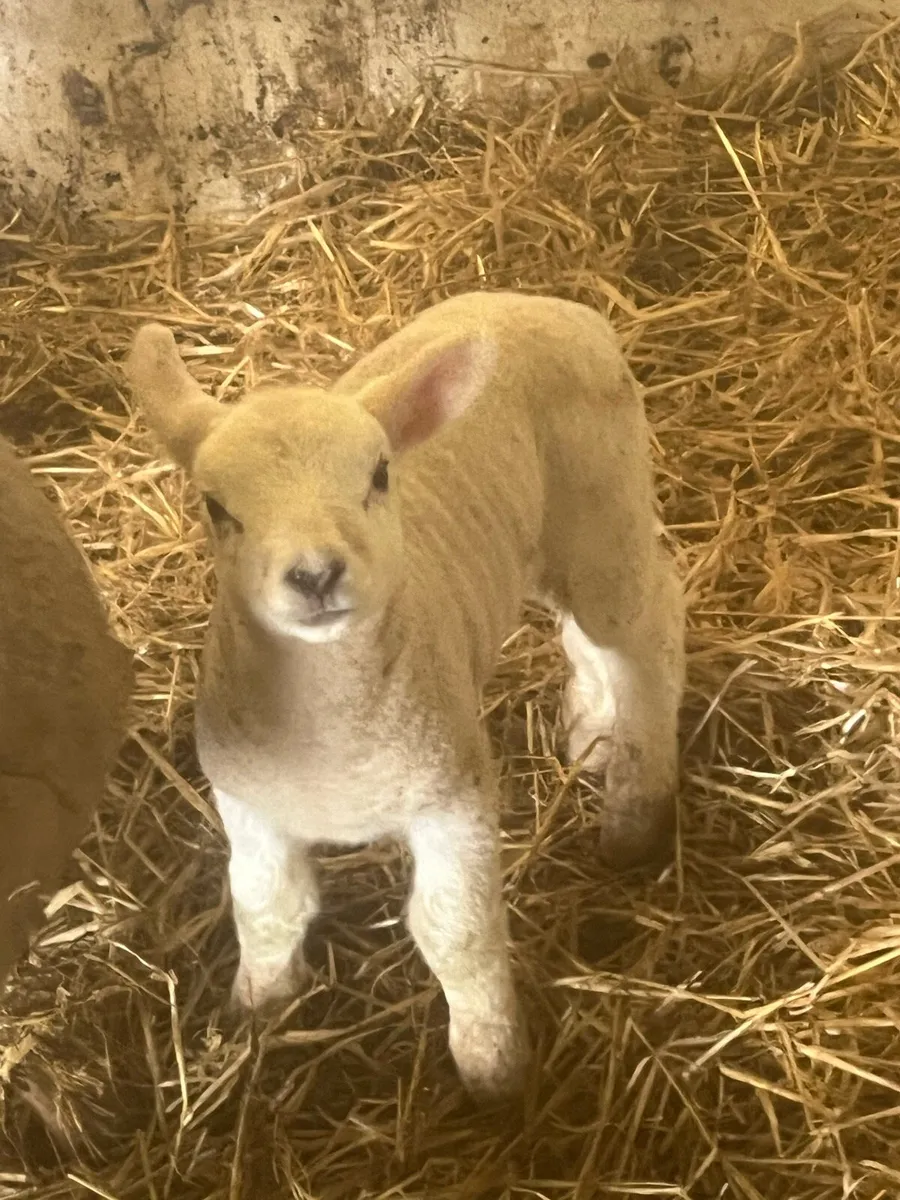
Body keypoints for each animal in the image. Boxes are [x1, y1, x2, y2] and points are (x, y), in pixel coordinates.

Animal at [124, 290, 685, 1100]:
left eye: (379, 475)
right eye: (216, 508)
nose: (315, 574)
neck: (329, 728)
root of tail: (542, 301)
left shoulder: (452, 798)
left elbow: (456, 932)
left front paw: (493, 1066)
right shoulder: (248, 801)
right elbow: (264, 906)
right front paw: (257, 1006)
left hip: (603, 503)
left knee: (645, 626)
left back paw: (637, 807)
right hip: (539, 539)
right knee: (589, 626)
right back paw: (594, 727)